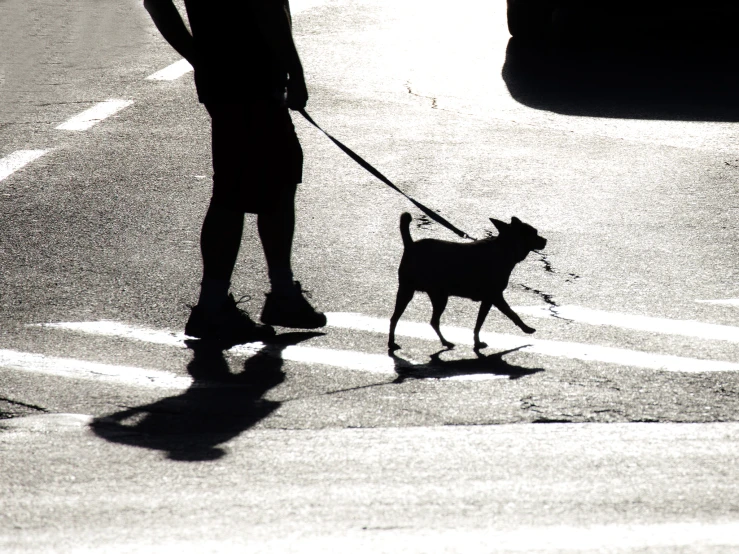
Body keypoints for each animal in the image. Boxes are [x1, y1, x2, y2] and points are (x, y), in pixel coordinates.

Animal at [390, 211, 548, 350]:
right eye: (534, 233)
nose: (545, 240)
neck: (505, 248)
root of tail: (410, 245)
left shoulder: (491, 299)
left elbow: (485, 320)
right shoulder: (493, 297)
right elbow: (503, 315)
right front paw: (526, 328)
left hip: (415, 292)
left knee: (401, 318)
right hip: (432, 295)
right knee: (426, 320)